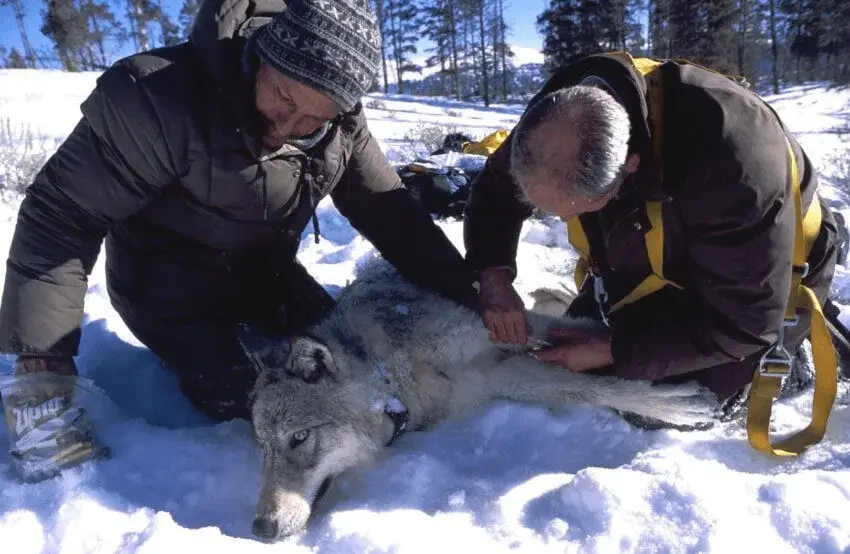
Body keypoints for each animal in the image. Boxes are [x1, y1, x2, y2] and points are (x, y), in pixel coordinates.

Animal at [238, 257, 721, 542]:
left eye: (299, 438)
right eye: (262, 448)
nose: (260, 529)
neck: (394, 376)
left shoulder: (508, 332)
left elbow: (594, 354)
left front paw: (677, 401)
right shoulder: (497, 376)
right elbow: (585, 383)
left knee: (557, 296)